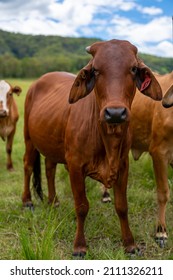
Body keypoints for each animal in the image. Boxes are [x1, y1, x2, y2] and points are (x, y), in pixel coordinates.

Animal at [22, 39, 162, 256]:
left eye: (133, 68)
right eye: (95, 70)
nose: (115, 112)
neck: (108, 139)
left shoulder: (123, 165)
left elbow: (122, 206)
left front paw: (130, 244)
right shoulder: (75, 167)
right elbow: (81, 206)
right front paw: (79, 246)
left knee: (49, 169)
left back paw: (53, 201)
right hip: (28, 139)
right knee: (28, 166)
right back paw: (27, 202)